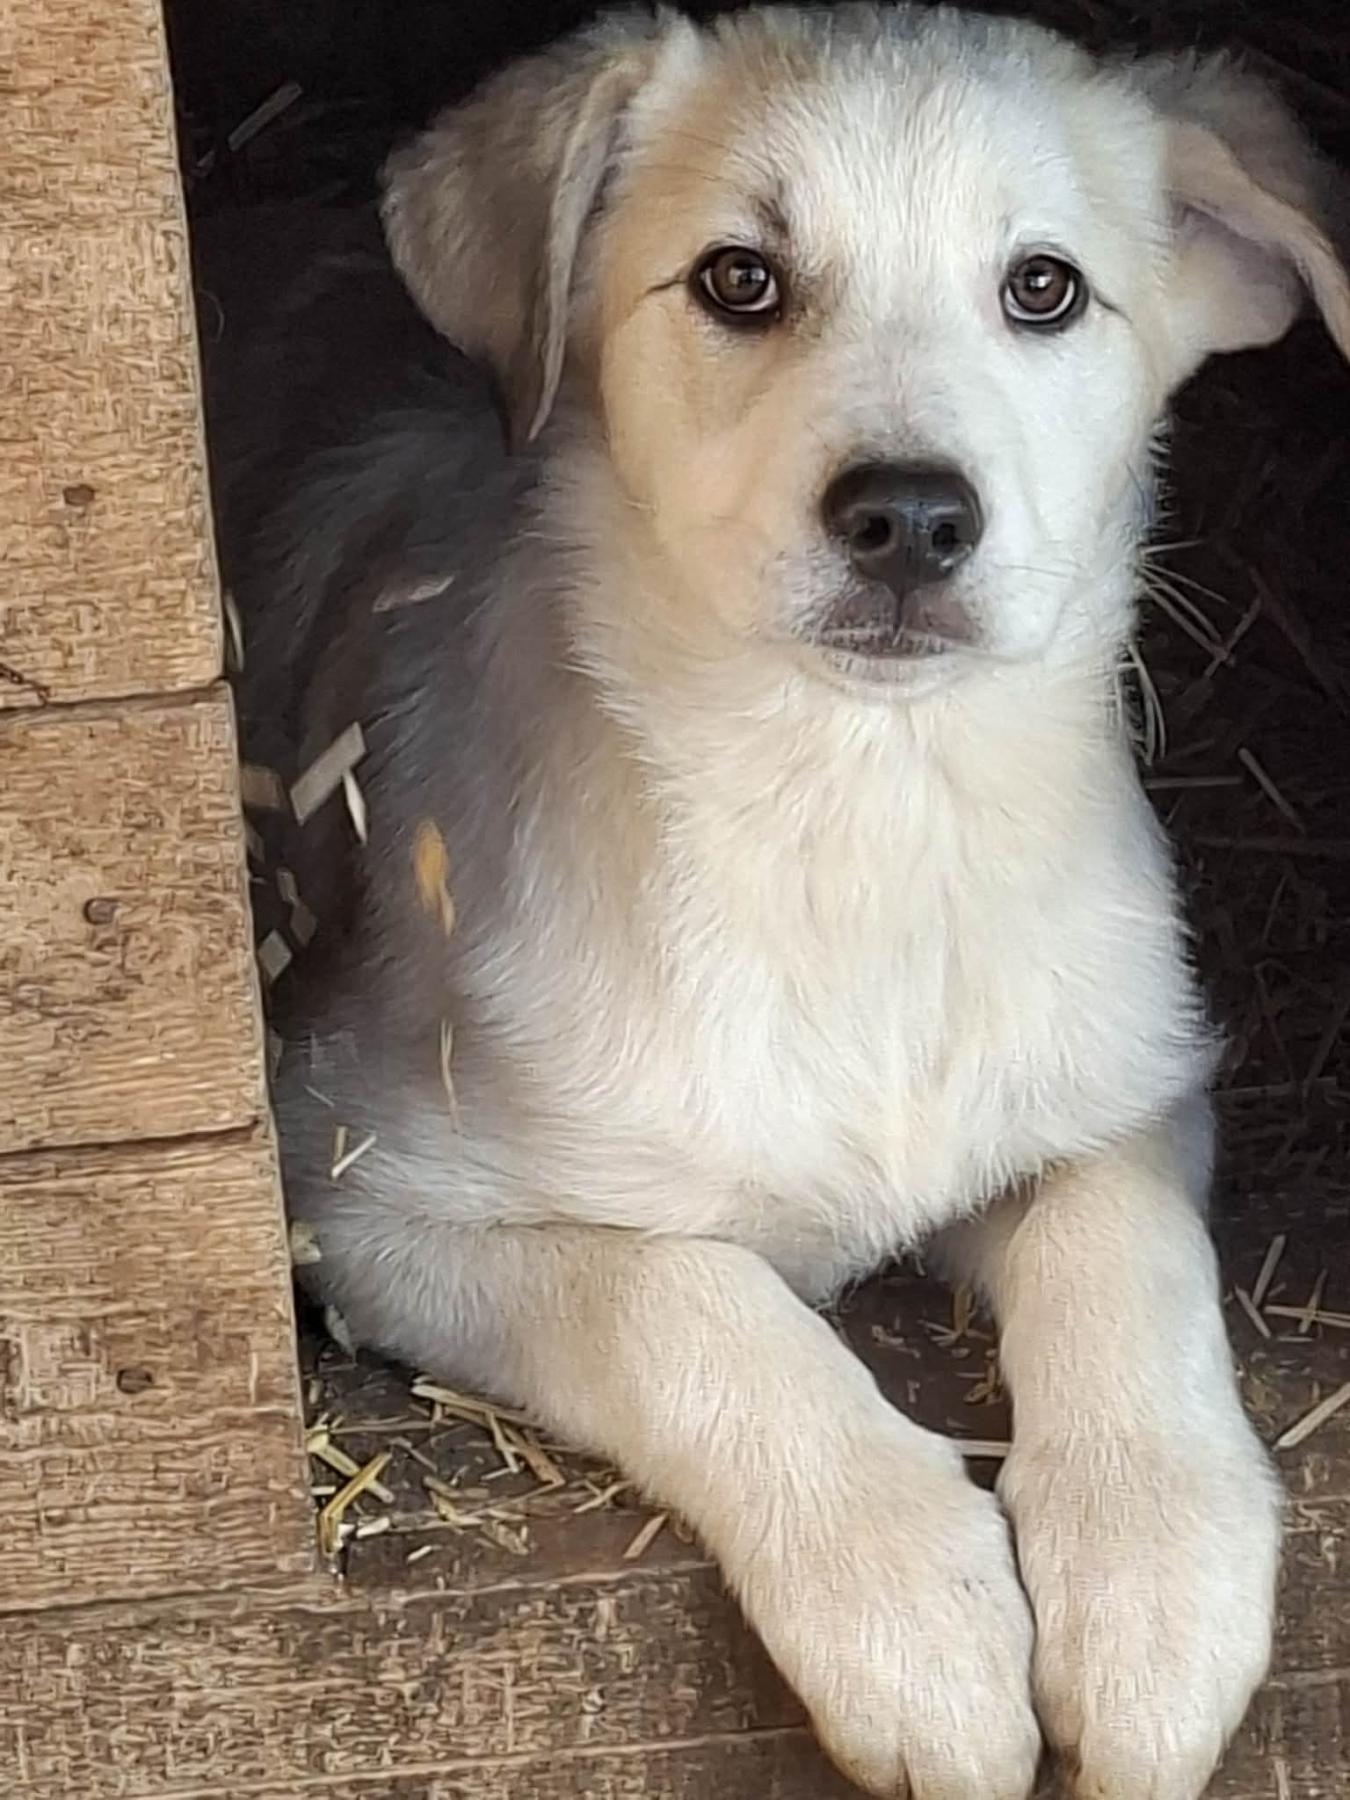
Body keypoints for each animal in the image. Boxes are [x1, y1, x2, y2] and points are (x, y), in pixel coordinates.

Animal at [204, 6, 1350, 1796]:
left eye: (1043, 287)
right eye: (738, 279)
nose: (910, 518)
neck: (857, 822)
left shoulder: (1121, 1090)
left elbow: (1126, 1256)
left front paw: (1158, 1580)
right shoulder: (365, 1189)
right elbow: (686, 1296)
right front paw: (915, 1612)